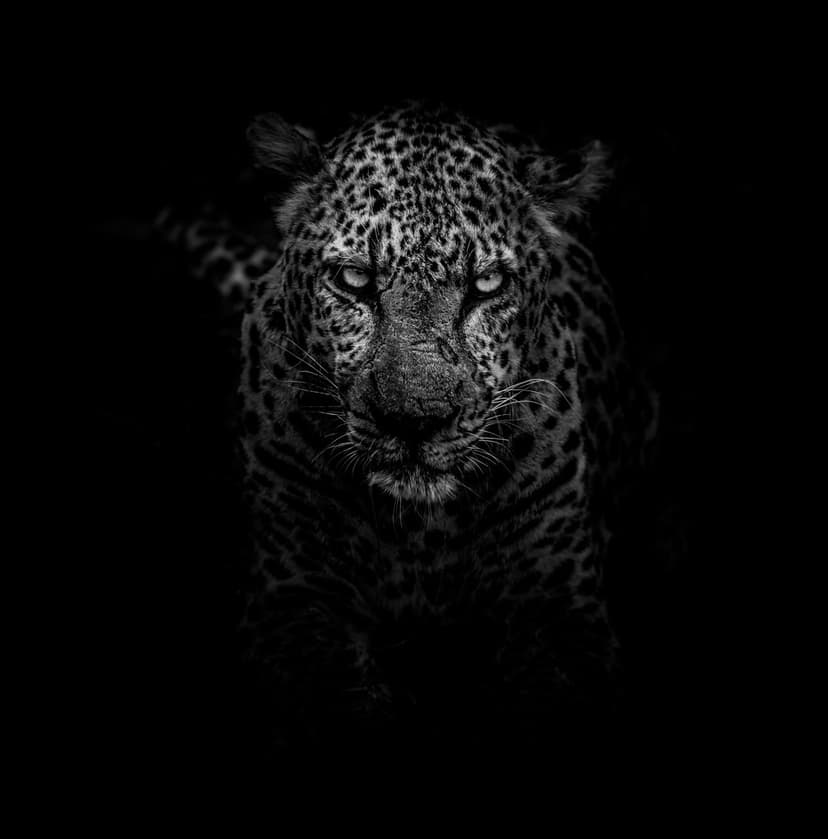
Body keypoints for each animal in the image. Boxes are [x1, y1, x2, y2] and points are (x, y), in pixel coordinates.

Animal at [165, 101, 659, 757]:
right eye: (354, 280)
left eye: (486, 286)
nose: (414, 421)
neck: (422, 532)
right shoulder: (292, 598)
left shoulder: (560, 610)